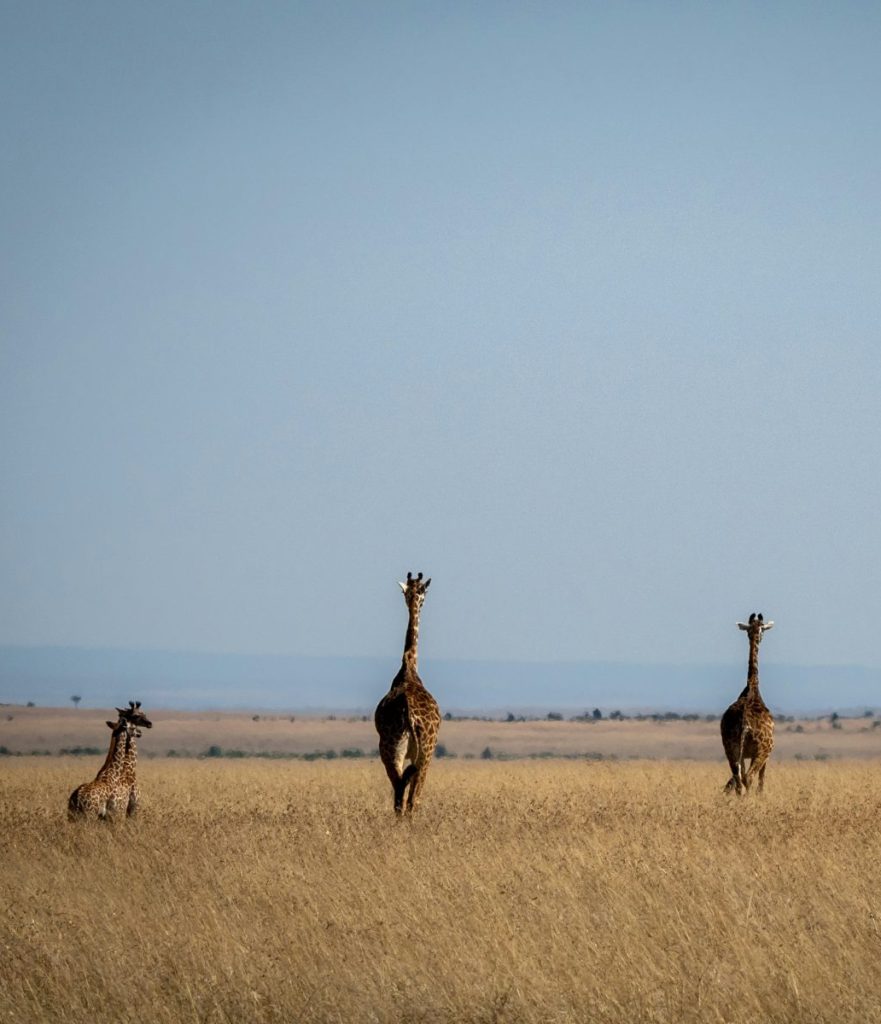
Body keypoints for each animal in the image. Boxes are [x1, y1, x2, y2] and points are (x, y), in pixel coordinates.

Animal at [374, 571, 441, 814]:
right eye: (425, 592)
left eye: (418, 592)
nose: (420, 601)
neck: (409, 667)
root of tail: (410, 716)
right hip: (424, 752)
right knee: (412, 799)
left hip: (392, 750)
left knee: (399, 795)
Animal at [720, 612, 775, 795]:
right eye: (763, 630)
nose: (760, 637)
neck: (752, 687)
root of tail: (744, 724)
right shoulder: (766, 755)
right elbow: (761, 782)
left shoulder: (741, 754)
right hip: (761, 751)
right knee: (749, 778)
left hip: (730, 748)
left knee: (738, 779)